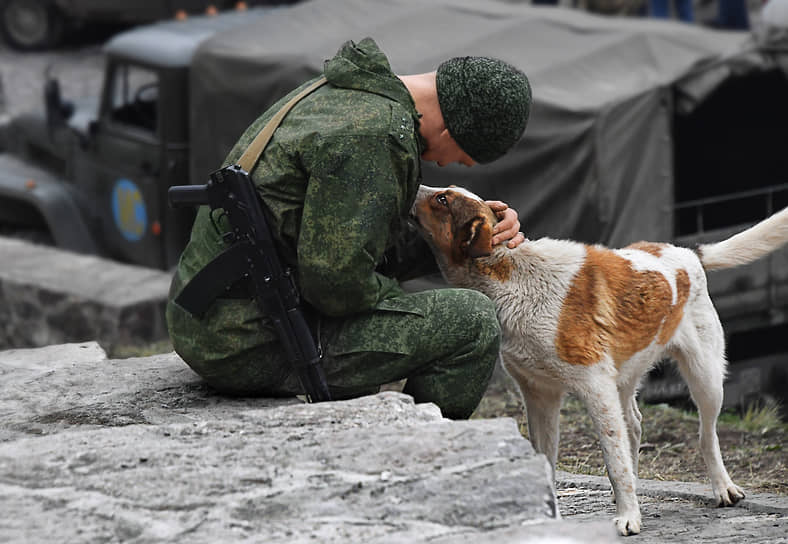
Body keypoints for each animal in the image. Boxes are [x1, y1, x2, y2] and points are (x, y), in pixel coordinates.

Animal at [410, 186, 788, 536]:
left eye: (443, 200)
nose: (417, 184)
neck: (511, 273)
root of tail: (685, 251)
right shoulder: (540, 396)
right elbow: (550, 458)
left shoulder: (595, 390)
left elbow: (613, 459)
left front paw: (628, 517)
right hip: (626, 373)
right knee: (634, 424)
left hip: (705, 377)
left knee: (706, 435)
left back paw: (722, 487)